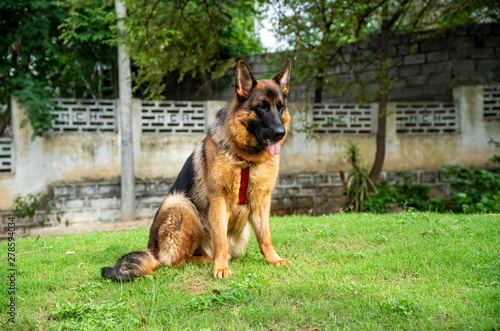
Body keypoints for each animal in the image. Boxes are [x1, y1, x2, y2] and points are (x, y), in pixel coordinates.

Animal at [100, 59, 292, 280]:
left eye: (280, 107)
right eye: (261, 106)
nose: (280, 133)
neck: (246, 159)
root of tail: (153, 250)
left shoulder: (262, 200)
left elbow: (266, 236)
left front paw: (274, 259)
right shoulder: (218, 200)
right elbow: (220, 239)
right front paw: (220, 267)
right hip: (180, 203)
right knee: (178, 259)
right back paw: (208, 259)